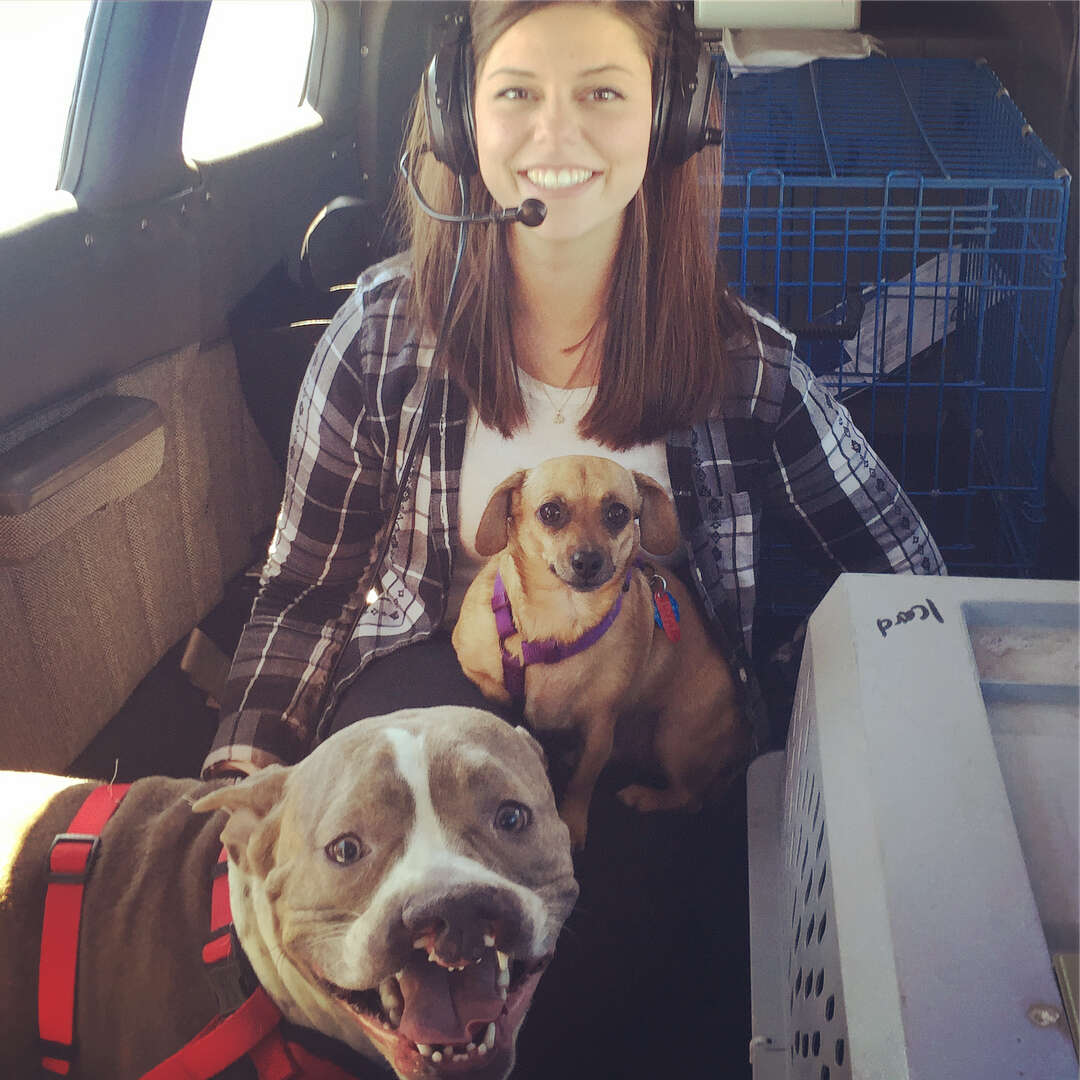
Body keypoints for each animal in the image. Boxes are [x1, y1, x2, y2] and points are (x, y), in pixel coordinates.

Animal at [451, 451, 747, 846]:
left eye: (617, 513)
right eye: (550, 512)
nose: (588, 561)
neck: (560, 620)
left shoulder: (599, 727)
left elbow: (583, 780)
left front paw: (572, 824)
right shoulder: (472, 664)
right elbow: (495, 689)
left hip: (674, 734)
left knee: (690, 797)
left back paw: (644, 796)